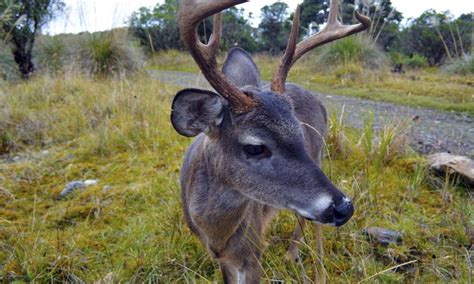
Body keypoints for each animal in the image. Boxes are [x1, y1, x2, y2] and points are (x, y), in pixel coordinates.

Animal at [170, 0, 370, 282]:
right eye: (255, 147)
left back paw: (310, 265)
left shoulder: (254, 253)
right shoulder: (222, 260)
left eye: (299, 133)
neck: (216, 233)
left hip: (319, 156)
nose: (344, 208)